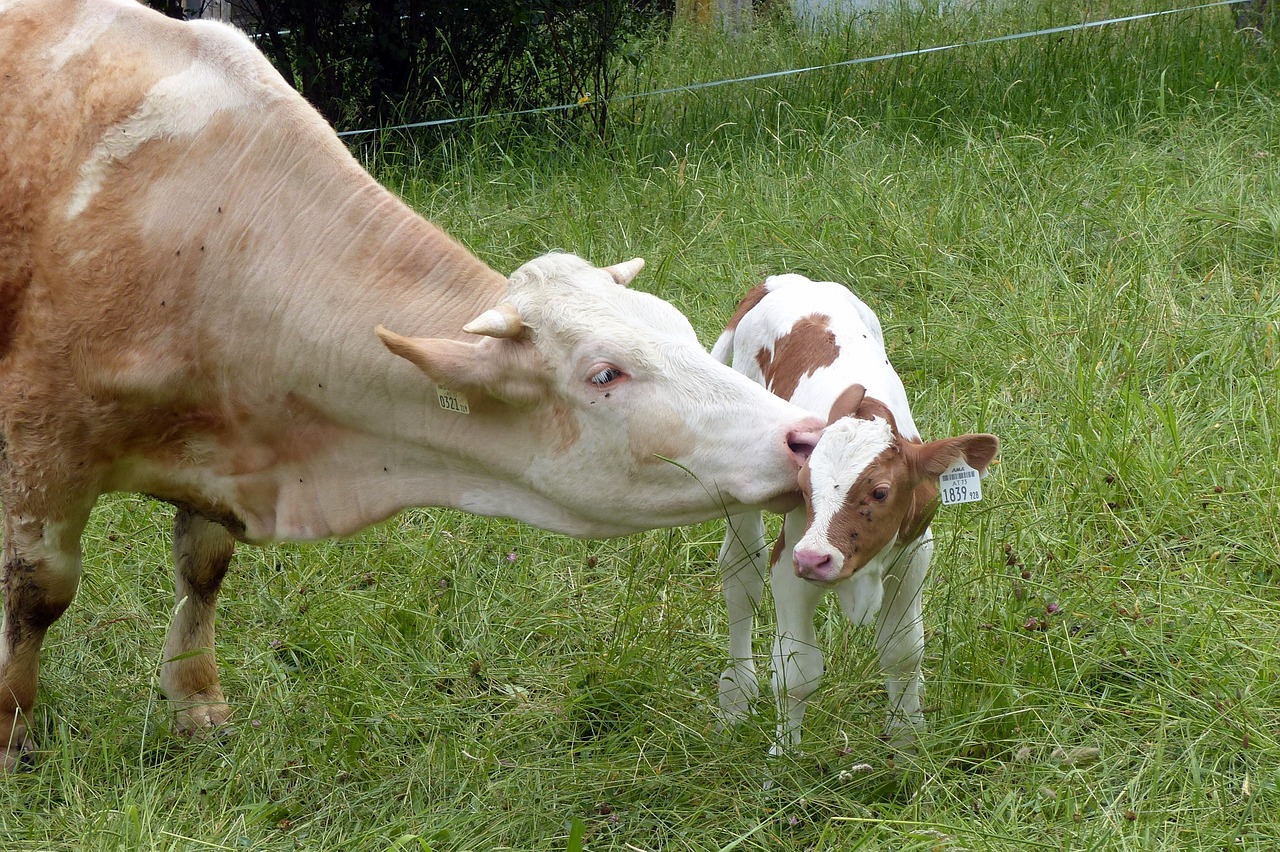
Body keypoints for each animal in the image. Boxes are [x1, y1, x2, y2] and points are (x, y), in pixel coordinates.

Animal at [0, 0, 824, 767]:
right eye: (604, 373)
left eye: (680, 329)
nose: (805, 435)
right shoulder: (40, 443)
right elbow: (39, 590)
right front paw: (13, 731)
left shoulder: (221, 448)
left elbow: (203, 569)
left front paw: (196, 703)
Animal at [716, 272, 993, 752]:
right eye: (803, 486)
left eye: (880, 492)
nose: (815, 559)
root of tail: (784, 281)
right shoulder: (791, 562)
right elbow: (796, 670)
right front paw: (784, 756)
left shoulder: (913, 554)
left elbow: (903, 652)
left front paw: (907, 740)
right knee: (741, 576)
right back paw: (736, 695)